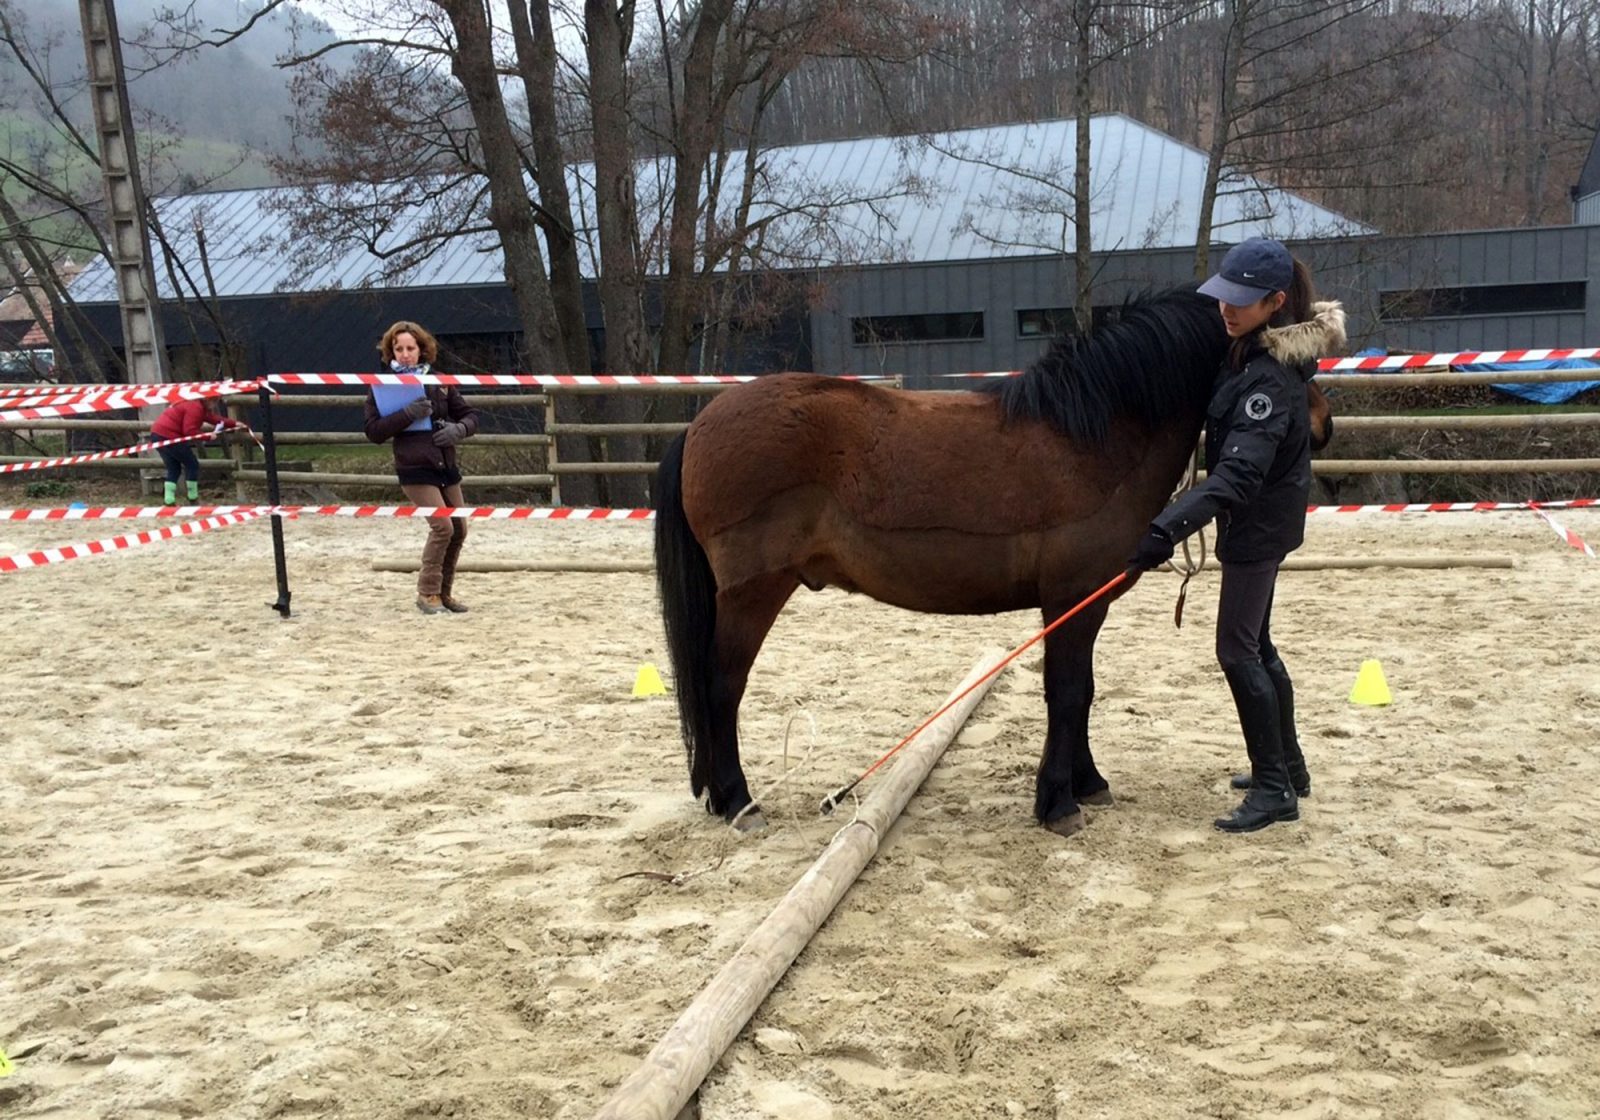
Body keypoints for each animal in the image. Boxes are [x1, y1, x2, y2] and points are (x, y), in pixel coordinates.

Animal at [656, 288, 1331, 832]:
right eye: (1285, 349)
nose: (1321, 425)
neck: (1095, 436)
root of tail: (700, 424)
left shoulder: (1084, 605)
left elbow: (1083, 691)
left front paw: (1088, 783)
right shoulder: (1070, 599)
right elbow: (1066, 692)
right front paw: (1057, 803)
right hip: (752, 594)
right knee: (721, 687)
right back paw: (739, 802)